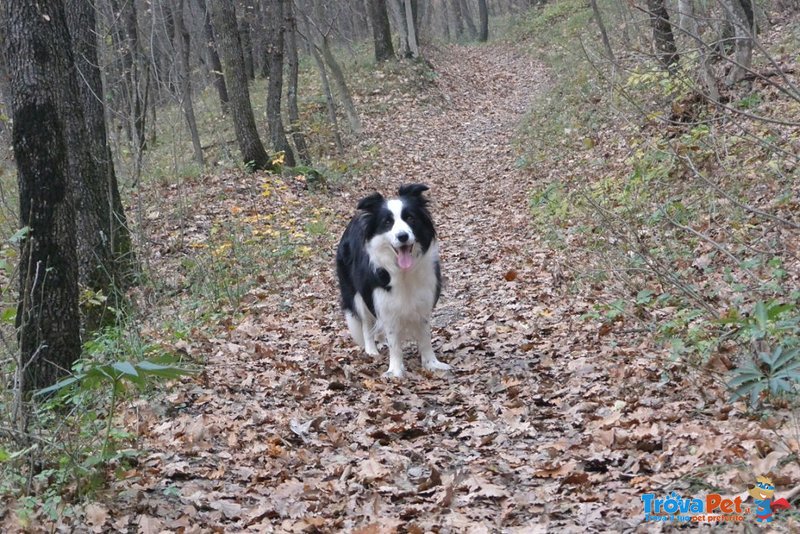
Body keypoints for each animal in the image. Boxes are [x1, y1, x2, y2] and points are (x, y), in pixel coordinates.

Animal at [336, 186, 450, 378]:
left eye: (410, 218)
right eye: (387, 222)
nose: (402, 236)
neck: (403, 271)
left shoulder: (422, 301)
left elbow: (425, 337)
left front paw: (431, 363)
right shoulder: (383, 301)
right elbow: (394, 342)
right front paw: (395, 371)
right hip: (357, 295)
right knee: (366, 324)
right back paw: (371, 350)